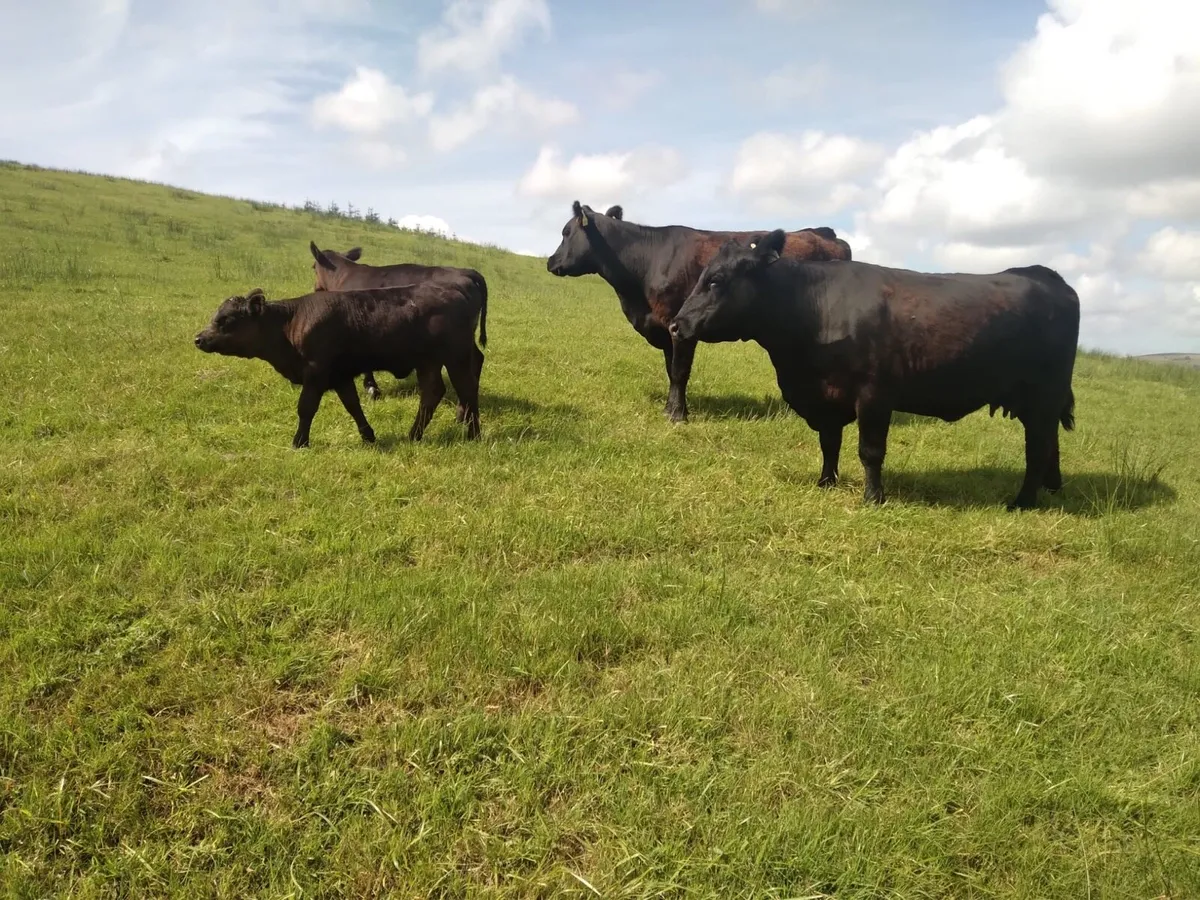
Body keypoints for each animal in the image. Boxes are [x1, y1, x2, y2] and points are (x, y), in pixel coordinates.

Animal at [194, 282, 485, 448]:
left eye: (226, 320)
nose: (199, 338)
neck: (290, 323)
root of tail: (456, 291)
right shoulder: (340, 376)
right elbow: (353, 406)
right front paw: (368, 436)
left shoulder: (316, 372)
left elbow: (306, 408)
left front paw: (300, 442)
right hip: (428, 362)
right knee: (432, 393)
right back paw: (413, 435)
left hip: (456, 358)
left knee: (467, 391)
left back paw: (473, 436)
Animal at [545, 202, 851, 422]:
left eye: (566, 233)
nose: (549, 261)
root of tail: (824, 232)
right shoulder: (665, 329)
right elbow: (671, 370)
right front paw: (672, 408)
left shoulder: (681, 326)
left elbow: (680, 371)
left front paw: (677, 415)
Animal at [669, 229, 1080, 510]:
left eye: (716, 280)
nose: (675, 325)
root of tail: (1045, 274)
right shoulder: (826, 399)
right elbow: (829, 443)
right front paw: (826, 482)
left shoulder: (874, 395)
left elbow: (870, 451)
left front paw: (873, 497)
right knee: (1049, 444)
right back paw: (1051, 488)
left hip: (1043, 397)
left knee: (1037, 448)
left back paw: (1023, 501)